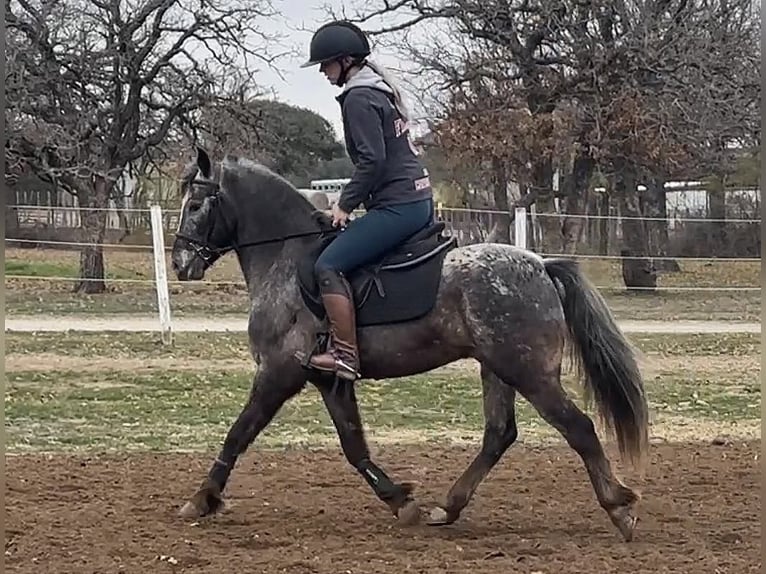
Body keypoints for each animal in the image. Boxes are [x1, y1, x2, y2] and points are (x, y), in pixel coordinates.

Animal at [171, 148, 652, 544]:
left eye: (195, 205)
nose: (180, 263)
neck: (286, 259)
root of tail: (539, 263)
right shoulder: (329, 380)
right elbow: (354, 446)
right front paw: (401, 501)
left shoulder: (278, 373)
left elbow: (238, 433)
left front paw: (201, 498)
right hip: (498, 368)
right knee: (500, 434)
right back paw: (448, 507)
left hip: (529, 372)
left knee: (578, 428)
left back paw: (619, 508)